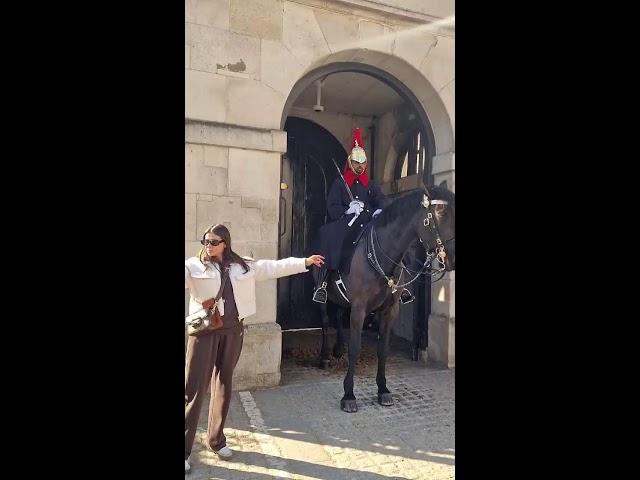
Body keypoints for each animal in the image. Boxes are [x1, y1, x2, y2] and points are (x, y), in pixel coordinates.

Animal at [312, 185, 452, 412]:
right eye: (438, 214)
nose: (452, 259)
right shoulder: (359, 309)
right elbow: (355, 349)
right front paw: (348, 395)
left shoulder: (389, 310)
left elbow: (383, 349)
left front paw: (383, 389)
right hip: (323, 296)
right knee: (325, 321)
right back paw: (325, 356)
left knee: (339, 315)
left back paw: (338, 348)